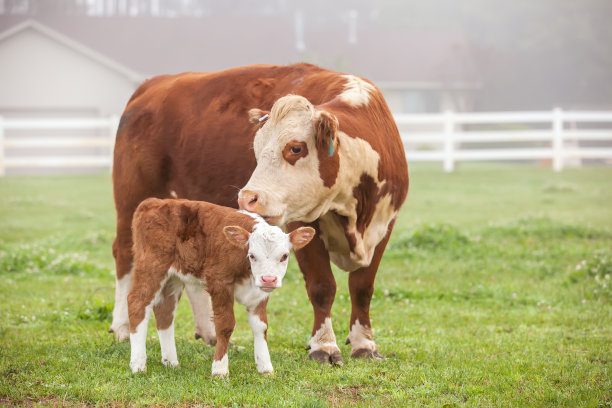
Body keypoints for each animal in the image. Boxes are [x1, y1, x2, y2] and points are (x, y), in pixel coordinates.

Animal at [126, 198, 314, 376]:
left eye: (284, 256)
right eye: (252, 255)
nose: (269, 279)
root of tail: (155, 202)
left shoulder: (260, 293)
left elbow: (261, 327)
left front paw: (265, 368)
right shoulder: (219, 283)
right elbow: (225, 325)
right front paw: (220, 369)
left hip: (173, 278)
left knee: (164, 310)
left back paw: (171, 362)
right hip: (152, 266)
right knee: (137, 302)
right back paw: (138, 364)